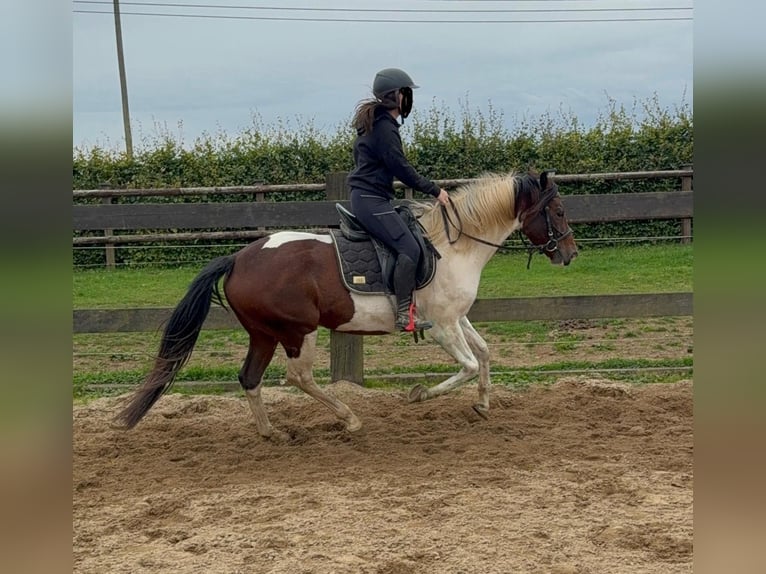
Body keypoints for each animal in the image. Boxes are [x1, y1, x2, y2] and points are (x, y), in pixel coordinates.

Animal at [116, 170, 578, 440]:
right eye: (556, 209)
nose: (570, 254)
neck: (453, 245)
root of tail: (239, 258)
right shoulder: (443, 325)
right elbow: (465, 366)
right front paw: (418, 395)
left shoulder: (457, 318)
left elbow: (483, 353)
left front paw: (482, 405)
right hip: (298, 331)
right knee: (298, 377)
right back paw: (348, 418)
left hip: (264, 334)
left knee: (250, 378)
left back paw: (272, 433)